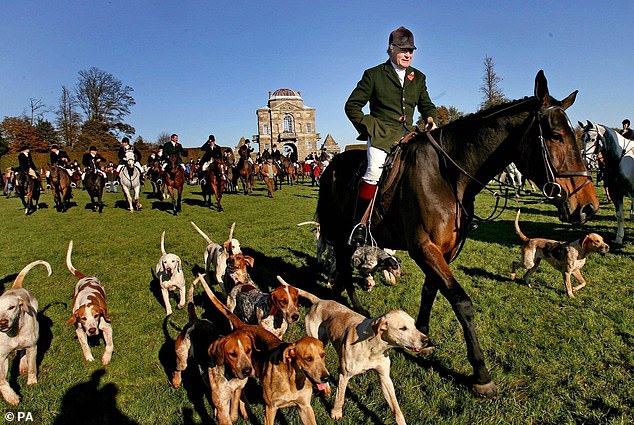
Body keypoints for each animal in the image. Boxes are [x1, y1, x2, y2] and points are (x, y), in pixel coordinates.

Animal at [0, 258, 50, 404]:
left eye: (11, 307)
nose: (2, 322)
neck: (13, 332)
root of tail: (16, 287)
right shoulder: (2, 356)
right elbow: (2, 380)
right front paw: (11, 396)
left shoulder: (32, 347)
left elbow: (32, 367)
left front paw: (32, 382)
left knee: (23, 352)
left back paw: (23, 365)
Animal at [316, 70, 596, 398]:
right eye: (555, 135)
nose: (588, 206)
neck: (447, 176)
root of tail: (332, 164)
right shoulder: (424, 248)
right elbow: (462, 303)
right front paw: (481, 373)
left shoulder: (444, 251)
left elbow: (430, 291)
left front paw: (421, 336)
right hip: (340, 232)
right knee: (343, 268)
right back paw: (352, 306)